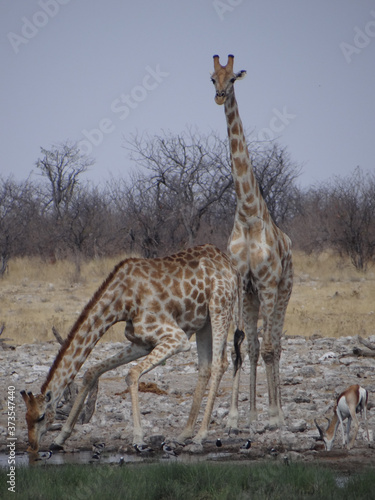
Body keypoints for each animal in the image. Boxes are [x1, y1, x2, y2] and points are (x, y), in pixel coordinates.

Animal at [21, 244, 244, 452]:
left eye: (41, 417)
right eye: (26, 417)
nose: (32, 445)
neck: (122, 301)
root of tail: (230, 265)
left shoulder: (176, 337)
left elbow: (132, 374)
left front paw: (138, 439)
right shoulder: (141, 343)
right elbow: (92, 371)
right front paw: (60, 439)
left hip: (220, 307)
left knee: (220, 363)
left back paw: (201, 436)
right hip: (203, 322)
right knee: (206, 366)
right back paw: (185, 434)